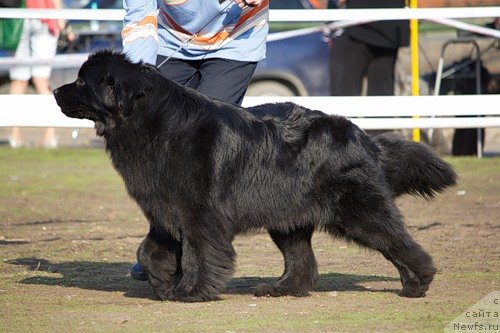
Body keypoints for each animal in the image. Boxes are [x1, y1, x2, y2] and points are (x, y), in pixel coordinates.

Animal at [53, 50, 458, 300]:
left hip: (359, 212)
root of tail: (364, 137)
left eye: (82, 81)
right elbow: (149, 250)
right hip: (286, 217)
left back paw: (417, 284)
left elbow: (199, 252)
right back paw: (281, 288)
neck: (152, 122)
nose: (55, 90)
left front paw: (191, 291)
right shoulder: (165, 210)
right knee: (302, 260)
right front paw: (163, 283)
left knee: (399, 242)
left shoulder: (199, 213)